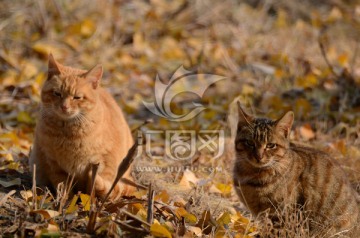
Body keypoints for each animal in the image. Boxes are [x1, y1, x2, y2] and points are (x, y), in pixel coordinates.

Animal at [29, 54, 134, 200]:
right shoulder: (52, 164)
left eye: (77, 97)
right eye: (57, 93)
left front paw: (89, 202)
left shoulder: (104, 162)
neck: (68, 133)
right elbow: (63, 187)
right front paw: (66, 201)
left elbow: (96, 186)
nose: (64, 106)